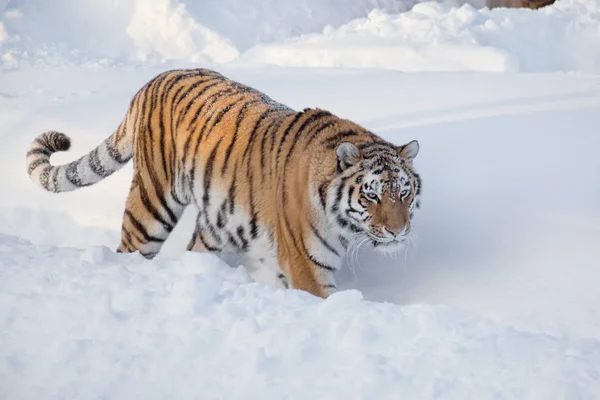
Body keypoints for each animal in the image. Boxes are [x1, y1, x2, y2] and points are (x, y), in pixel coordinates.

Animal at [24, 69, 422, 298]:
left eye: (404, 193)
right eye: (371, 196)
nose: (398, 231)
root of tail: (153, 80)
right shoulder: (308, 266)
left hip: (217, 222)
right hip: (152, 206)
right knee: (130, 248)